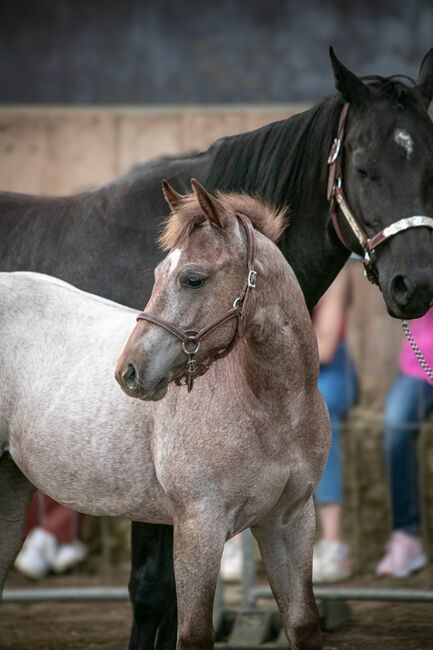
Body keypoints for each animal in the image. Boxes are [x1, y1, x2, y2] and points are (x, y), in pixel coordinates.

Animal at [0, 182, 328, 648]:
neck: (272, 410)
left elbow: (303, 624)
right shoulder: (199, 526)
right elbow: (192, 632)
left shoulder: (290, 521)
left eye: (193, 279)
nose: (129, 371)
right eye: (157, 275)